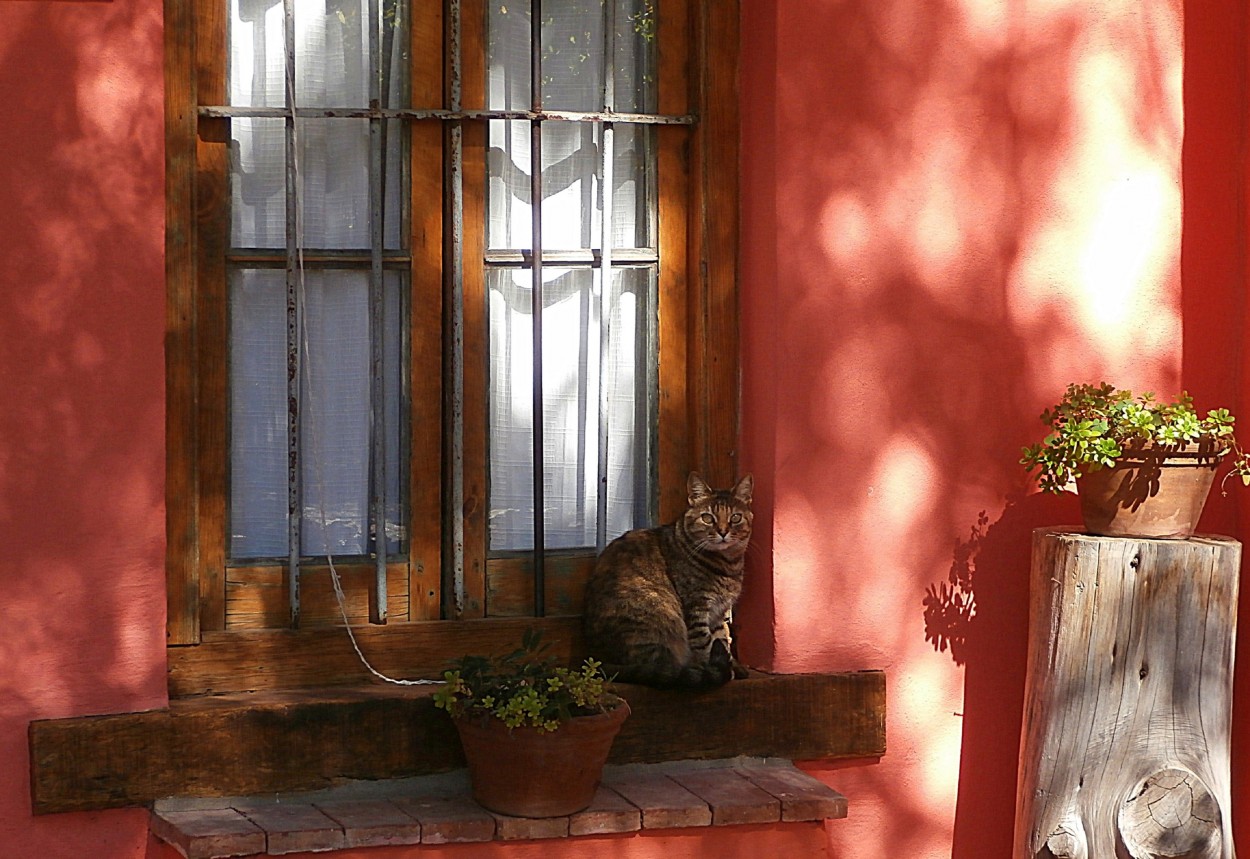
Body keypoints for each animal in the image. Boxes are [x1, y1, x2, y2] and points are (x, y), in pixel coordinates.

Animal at [582, 472, 750, 690]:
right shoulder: (697, 608)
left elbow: (720, 640)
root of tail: (599, 659)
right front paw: (720, 670)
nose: (723, 532)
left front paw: (733, 666)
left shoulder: (718, 613)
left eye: (735, 517)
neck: (728, 564)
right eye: (707, 518)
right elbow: (705, 645)